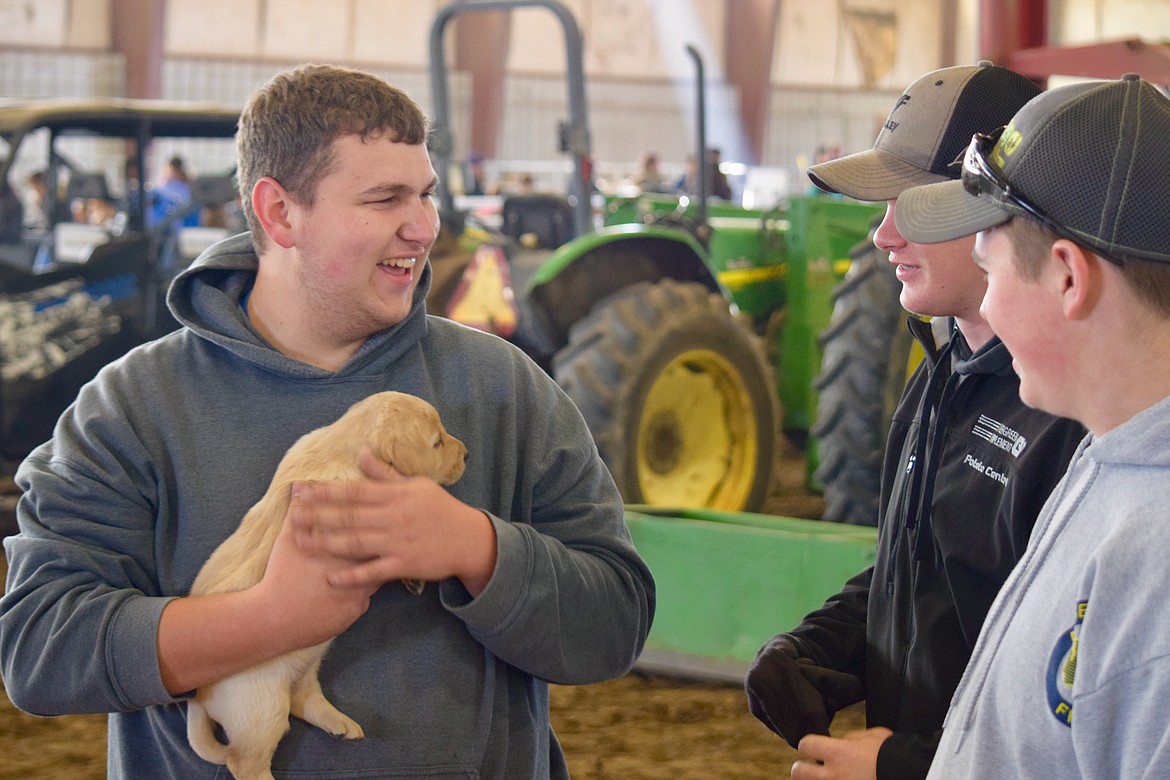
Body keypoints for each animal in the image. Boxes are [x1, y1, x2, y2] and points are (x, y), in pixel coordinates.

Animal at [182, 392, 465, 780]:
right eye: (437, 442)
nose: (467, 453)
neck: (344, 448)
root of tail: (201, 696)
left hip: (306, 665)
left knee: (302, 701)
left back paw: (339, 723)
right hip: (261, 706)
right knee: (244, 760)